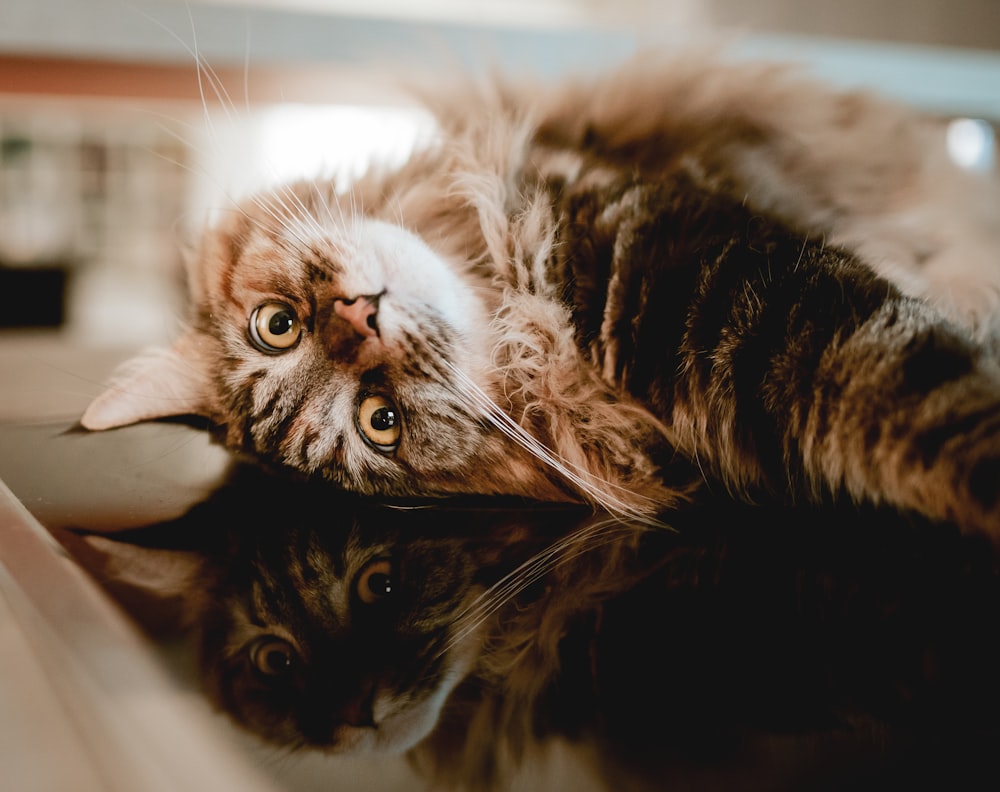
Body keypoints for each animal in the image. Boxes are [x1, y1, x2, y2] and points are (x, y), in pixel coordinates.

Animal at [80, 52, 1000, 536]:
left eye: (274, 326)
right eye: (382, 422)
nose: (361, 315)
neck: (535, 309)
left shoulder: (690, 255)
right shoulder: (759, 323)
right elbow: (924, 392)